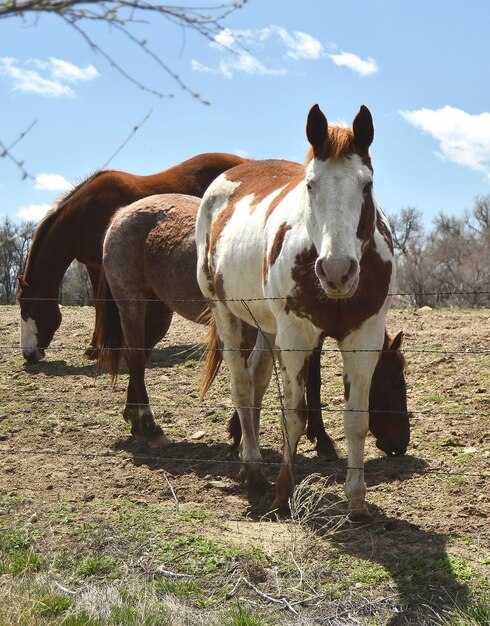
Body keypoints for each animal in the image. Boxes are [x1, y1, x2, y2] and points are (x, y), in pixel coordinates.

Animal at [17, 152, 247, 364]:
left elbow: (101, 305)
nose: (28, 355)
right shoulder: (93, 265)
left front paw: (97, 348)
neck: (85, 213)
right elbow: (99, 305)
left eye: (27, 309)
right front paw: (95, 347)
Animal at [95, 191, 410, 454]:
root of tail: (120, 214)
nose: (401, 444)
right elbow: (308, 381)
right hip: (132, 304)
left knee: (137, 357)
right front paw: (319, 439)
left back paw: (133, 417)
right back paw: (149, 425)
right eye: (396, 381)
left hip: (158, 313)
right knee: (136, 357)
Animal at [195, 103, 394, 516]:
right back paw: (255, 473)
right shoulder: (297, 338)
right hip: (227, 316)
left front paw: (357, 502)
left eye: (366, 185)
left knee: (255, 381)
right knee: (241, 387)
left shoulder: (364, 337)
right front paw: (283, 491)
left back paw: (248, 463)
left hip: (267, 327)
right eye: (310, 184)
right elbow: (294, 415)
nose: (336, 270)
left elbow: (356, 420)